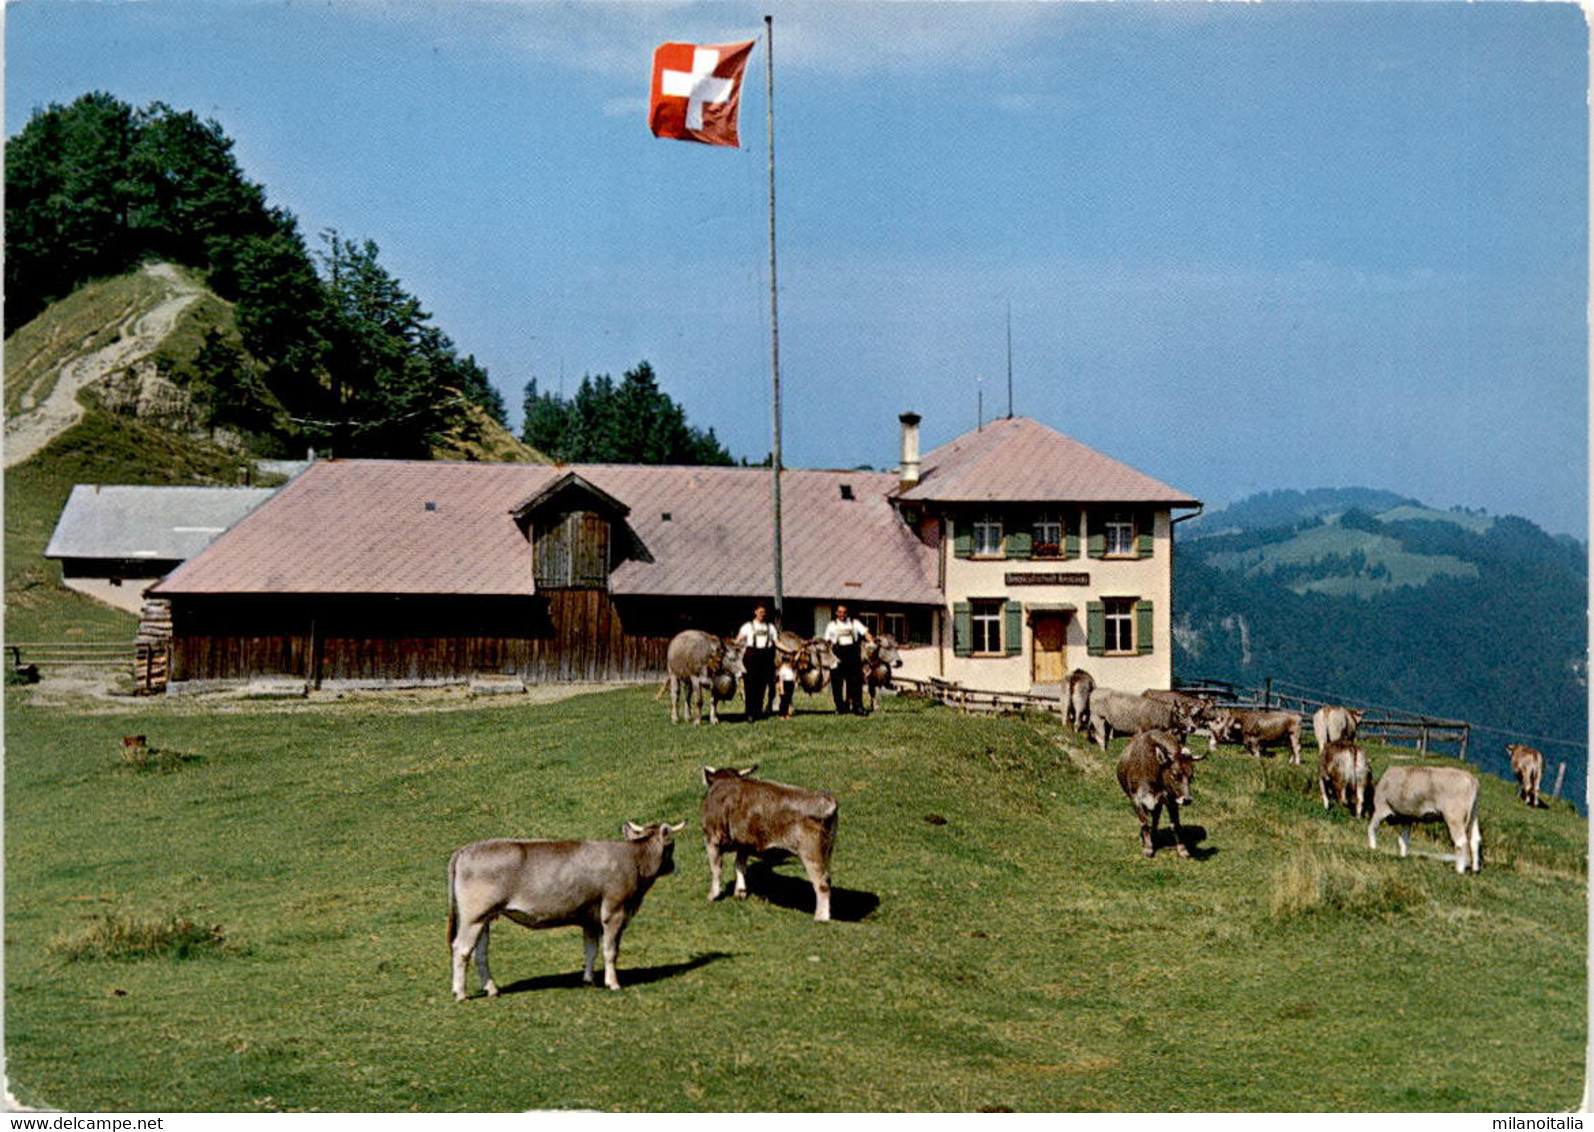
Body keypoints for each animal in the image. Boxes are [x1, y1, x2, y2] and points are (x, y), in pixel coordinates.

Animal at [446, 822, 682, 1001]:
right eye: (671, 844)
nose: (673, 866)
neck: (633, 859)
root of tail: (465, 850)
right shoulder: (614, 911)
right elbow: (610, 950)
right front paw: (613, 983)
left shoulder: (590, 918)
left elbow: (590, 949)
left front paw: (588, 980)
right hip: (473, 915)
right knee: (461, 948)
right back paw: (461, 993)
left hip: (484, 917)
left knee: (480, 953)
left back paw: (492, 989)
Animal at [704, 768, 841, 924]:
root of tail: (827, 800)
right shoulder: (743, 843)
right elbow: (739, 865)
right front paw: (740, 893)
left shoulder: (711, 837)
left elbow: (716, 869)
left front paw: (712, 895)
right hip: (826, 852)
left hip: (812, 854)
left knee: (822, 883)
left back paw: (821, 917)